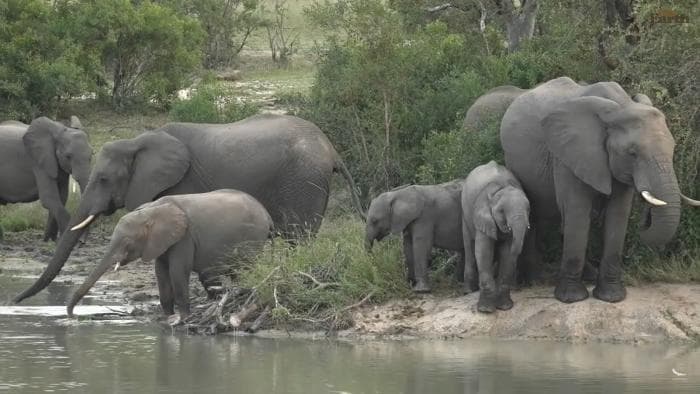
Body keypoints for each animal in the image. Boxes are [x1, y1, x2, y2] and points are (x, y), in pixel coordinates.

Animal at [13, 112, 364, 304]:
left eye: (103, 179)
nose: (14, 300)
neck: (138, 142)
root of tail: (331, 148)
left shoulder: (180, 184)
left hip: (303, 182)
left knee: (299, 239)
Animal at [66, 189, 274, 324]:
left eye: (127, 242)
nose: (74, 316)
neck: (151, 211)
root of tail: (267, 214)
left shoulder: (184, 237)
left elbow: (177, 271)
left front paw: (182, 319)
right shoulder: (160, 241)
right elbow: (161, 272)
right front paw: (167, 318)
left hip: (254, 237)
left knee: (247, 268)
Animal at [460, 162, 532, 312]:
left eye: (528, 209)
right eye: (502, 211)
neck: (501, 187)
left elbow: (507, 253)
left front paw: (505, 307)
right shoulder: (481, 215)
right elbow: (484, 251)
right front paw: (485, 310)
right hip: (464, 212)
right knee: (469, 247)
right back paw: (469, 291)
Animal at [504, 77, 700, 304]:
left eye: (674, 148)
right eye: (632, 153)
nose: (647, 212)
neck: (620, 106)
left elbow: (618, 215)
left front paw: (612, 297)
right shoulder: (567, 156)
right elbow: (578, 212)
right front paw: (572, 299)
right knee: (536, 216)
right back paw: (533, 280)